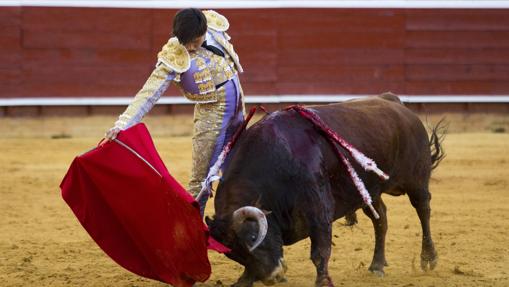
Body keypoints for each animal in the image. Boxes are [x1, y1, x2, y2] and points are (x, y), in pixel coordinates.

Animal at [206, 93, 444, 286]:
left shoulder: (318, 210)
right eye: (234, 254)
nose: (273, 277)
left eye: (254, 236)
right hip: (369, 190)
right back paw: (377, 265)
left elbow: (320, 251)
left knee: (423, 209)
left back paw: (428, 258)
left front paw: (323, 281)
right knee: (381, 219)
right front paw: (245, 279)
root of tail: (394, 102)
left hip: (416, 180)